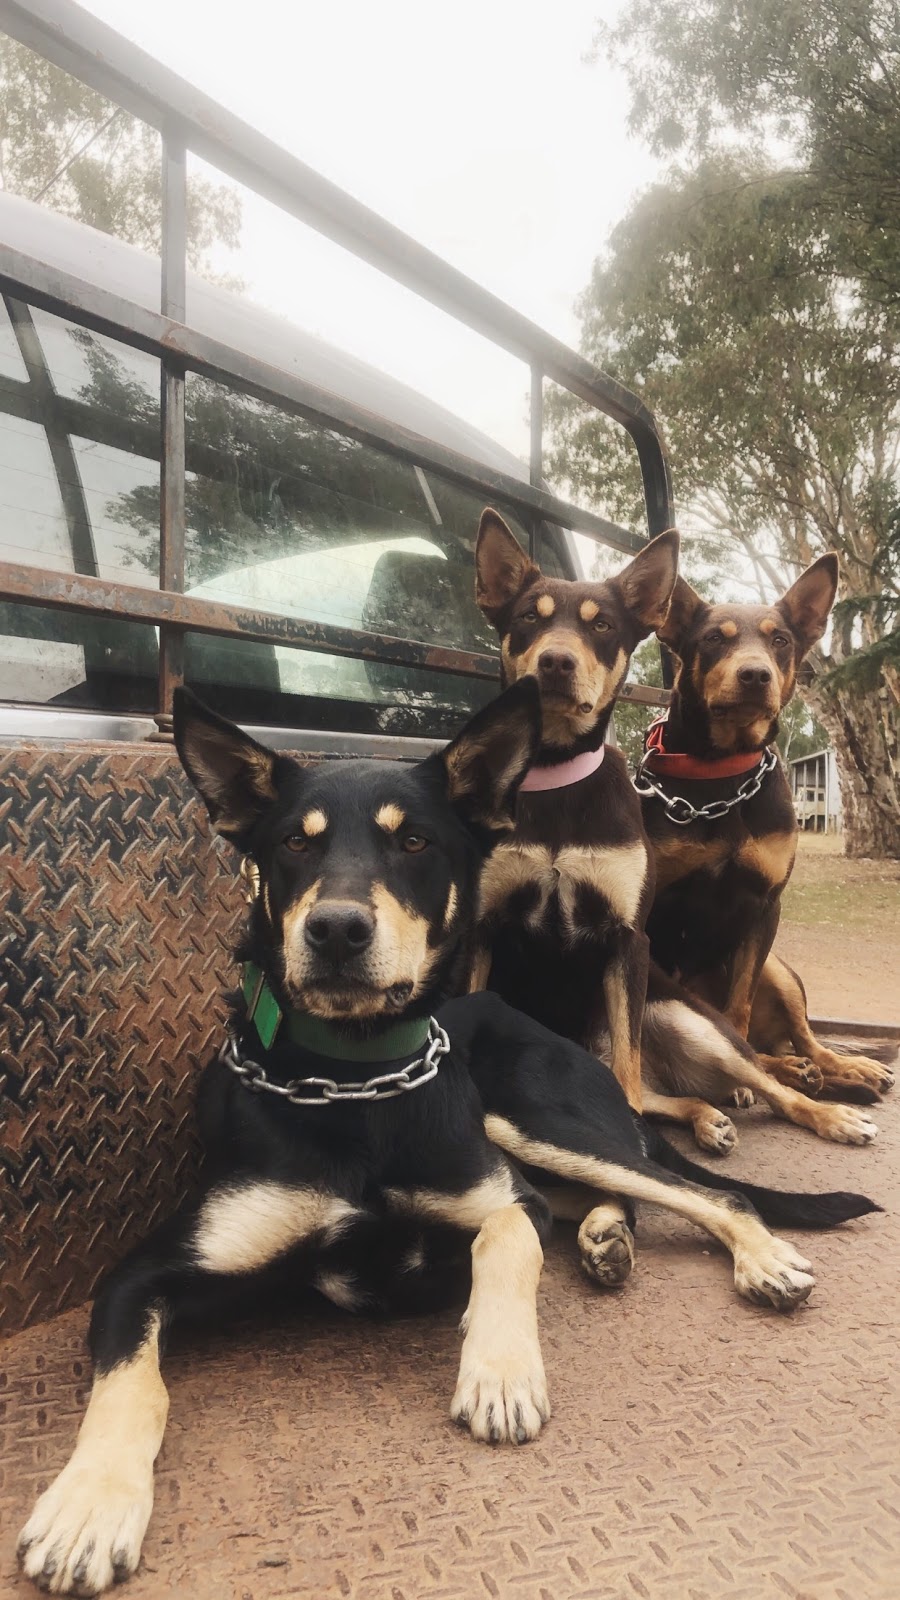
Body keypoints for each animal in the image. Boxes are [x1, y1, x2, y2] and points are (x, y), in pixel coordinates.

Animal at [19, 681, 877, 1593]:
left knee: (695, 1192)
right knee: (622, 1194)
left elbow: (506, 1240)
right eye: (293, 843)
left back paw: (759, 1251)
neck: (354, 1078)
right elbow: (131, 1388)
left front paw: (500, 1371)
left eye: (415, 841)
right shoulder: (140, 1277)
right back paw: (607, 1236)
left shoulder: (499, 1194)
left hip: (531, 1118)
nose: (336, 930)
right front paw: (88, 1508)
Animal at [637, 569, 890, 1107]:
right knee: (767, 1049)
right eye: (714, 638)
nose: (755, 675)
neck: (723, 777)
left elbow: (738, 1009)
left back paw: (847, 1068)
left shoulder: (764, 905)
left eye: (781, 641)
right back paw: (797, 1072)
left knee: (802, 1038)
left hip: (779, 969)